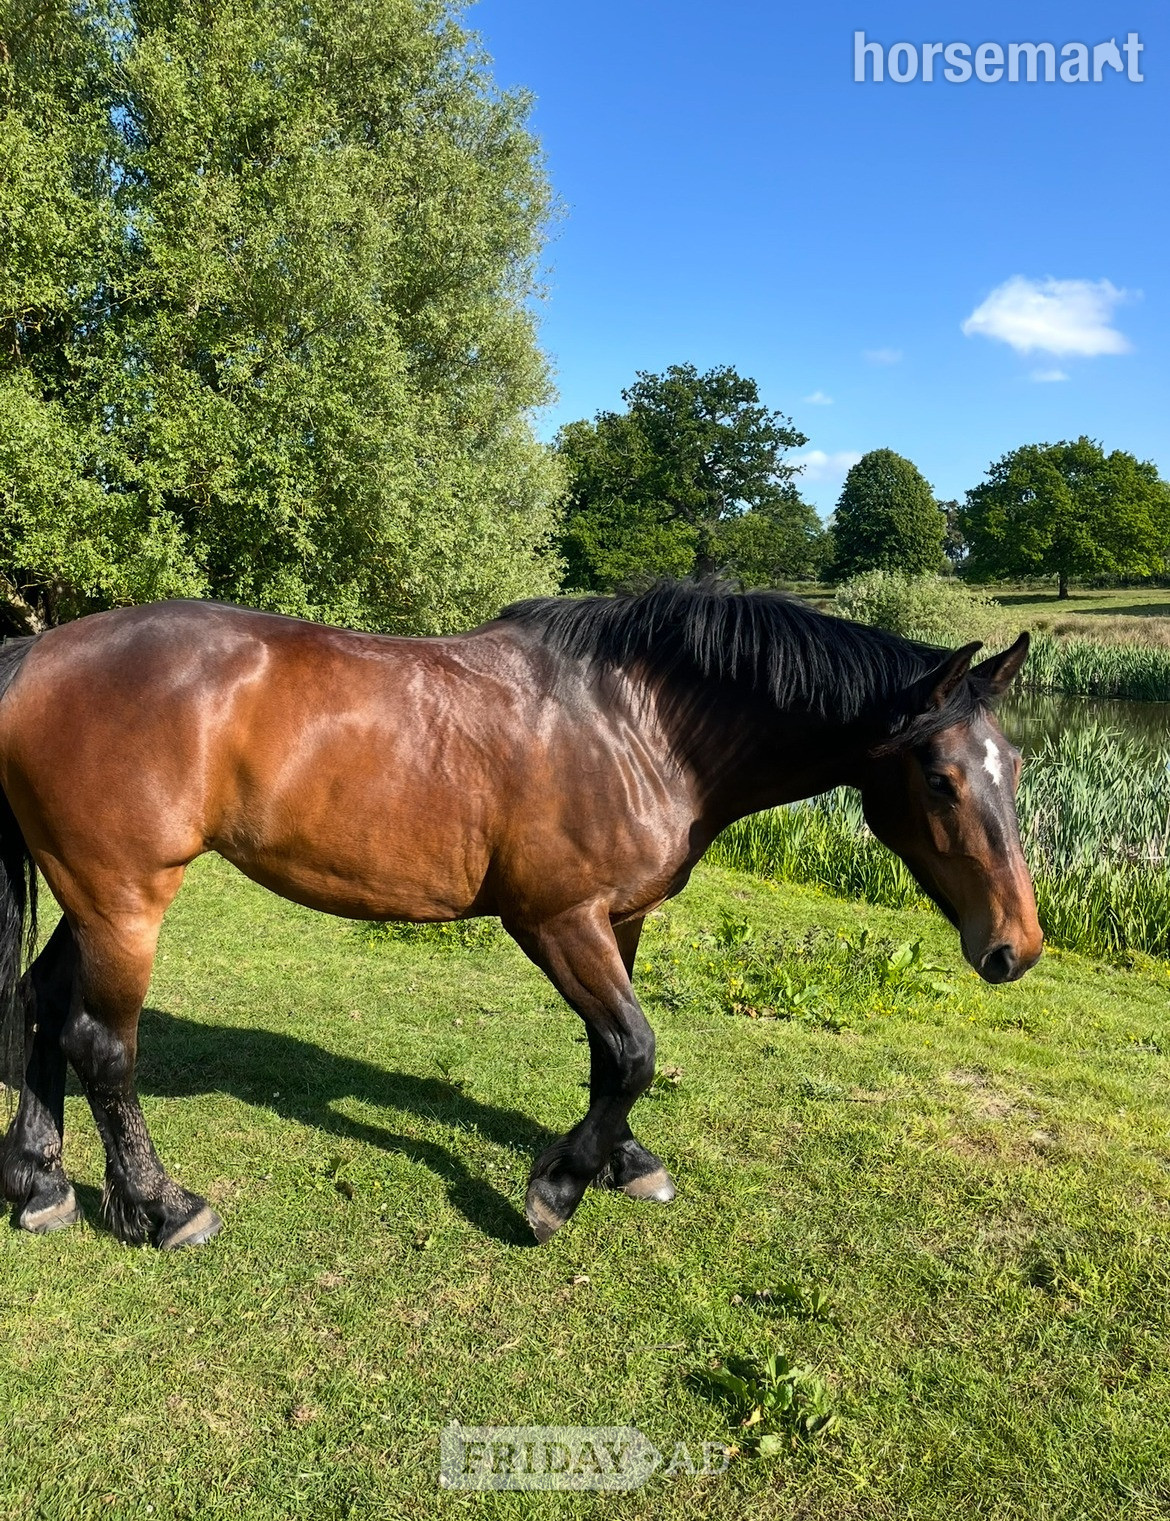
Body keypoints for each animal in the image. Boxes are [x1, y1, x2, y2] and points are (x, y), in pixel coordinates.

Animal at [0, 582, 1042, 1249]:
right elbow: (635, 1047)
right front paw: (557, 1189)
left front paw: (623, 1160)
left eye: (1020, 765)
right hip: (125, 899)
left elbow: (610, 1053)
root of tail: (37, 650)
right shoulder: (554, 920)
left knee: (42, 1006)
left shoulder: (620, 918)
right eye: (941, 778)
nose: (1017, 947)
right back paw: (162, 1207)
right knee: (103, 1043)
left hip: (89, 897)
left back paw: (40, 1183)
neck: (638, 723)